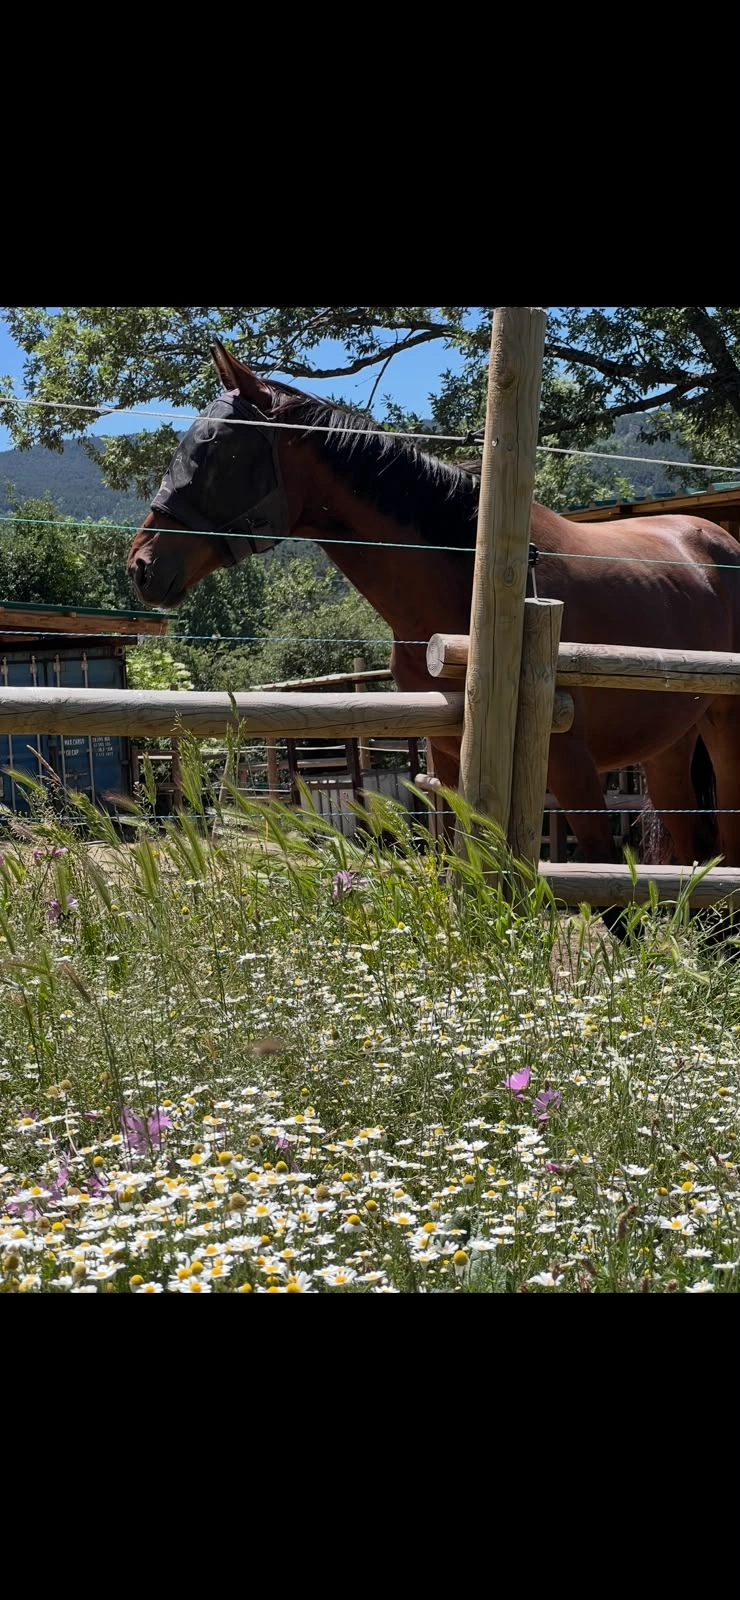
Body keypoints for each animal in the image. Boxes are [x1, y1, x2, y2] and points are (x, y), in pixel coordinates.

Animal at [127, 339, 740, 877]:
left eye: (218, 450)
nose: (141, 565)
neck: (472, 583)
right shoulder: (448, 754)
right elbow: (459, 862)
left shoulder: (572, 766)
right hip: (671, 745)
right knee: (694, 847)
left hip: (722, 731)